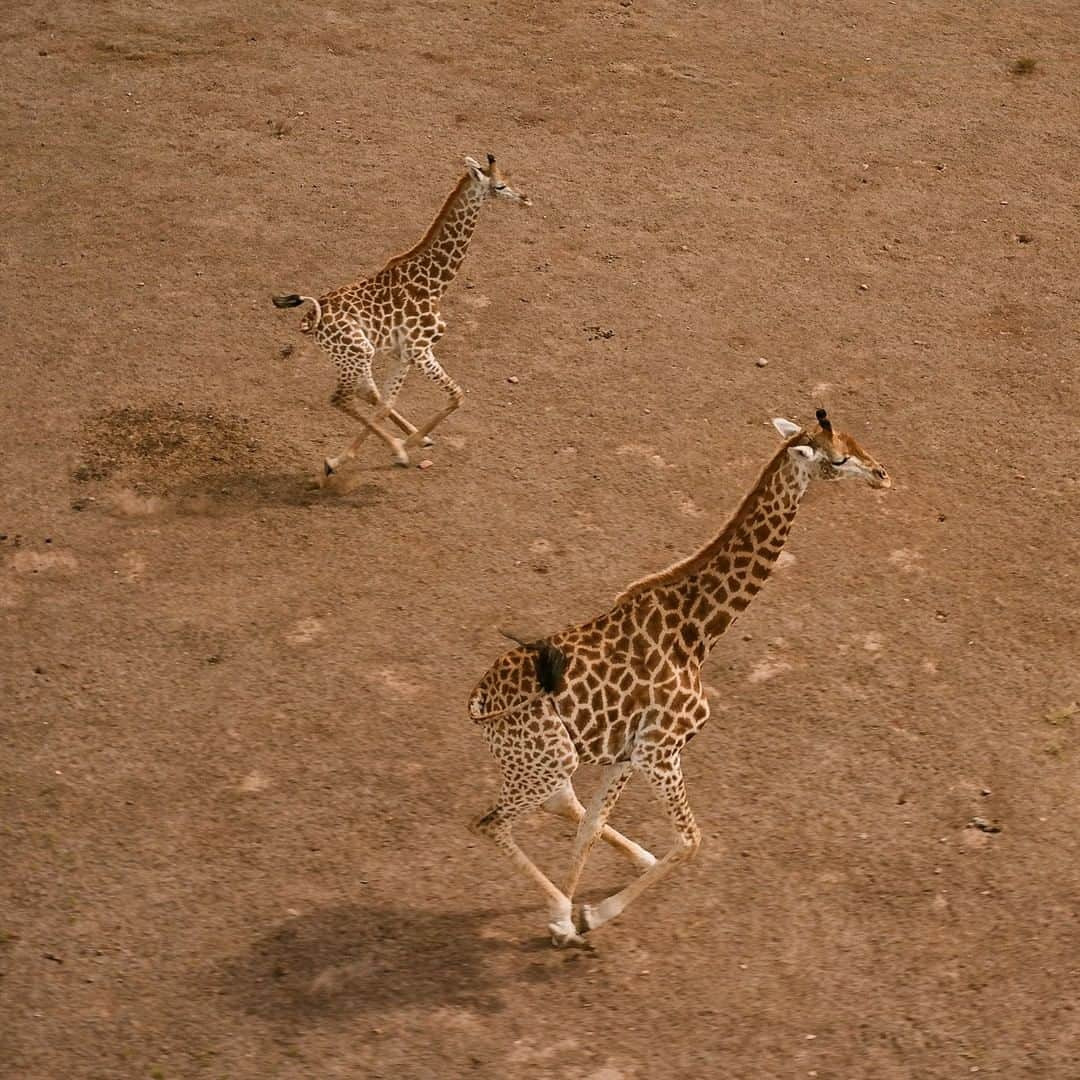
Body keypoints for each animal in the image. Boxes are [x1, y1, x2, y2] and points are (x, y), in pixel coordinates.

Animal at [272, 153, 529, 473]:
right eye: (500, 185)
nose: (525, 198)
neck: (435, 283)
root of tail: (311, 319)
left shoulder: (404, 353)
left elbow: (405, 401)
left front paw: (412, 441)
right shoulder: (418, 350)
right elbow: (448, 396)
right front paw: (402, 446)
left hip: (353, 355)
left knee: (366, 394)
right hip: (358, 352)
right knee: (341, 399)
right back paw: (350, 459)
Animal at [468, 408, 889, 950]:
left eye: (855, 441)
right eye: (837, 459)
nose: (882, 474)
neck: (697, 634)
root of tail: (479, 703)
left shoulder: (628, 753)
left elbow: (593, 827)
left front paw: (574, 919)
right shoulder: (661, 750)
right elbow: (692, 840)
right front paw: (584, 917)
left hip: (547, 762)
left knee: (562, 805)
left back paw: (620, 869)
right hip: (547, 760)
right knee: (490, 823)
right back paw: (563, 904)